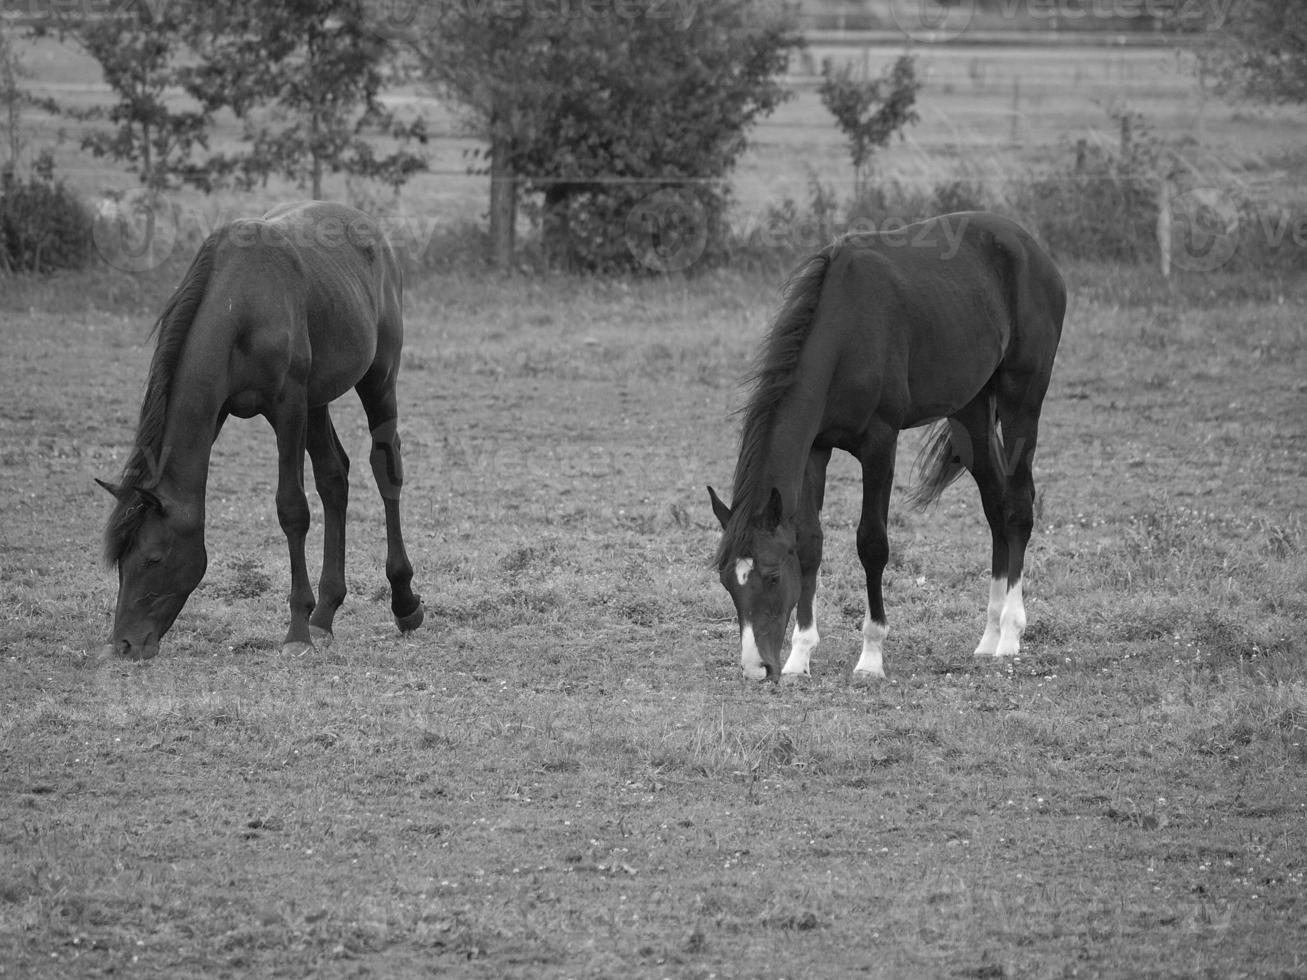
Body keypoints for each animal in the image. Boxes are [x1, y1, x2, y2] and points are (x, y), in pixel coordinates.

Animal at [98, 199, 423, 661]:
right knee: (333, 477)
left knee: (385, 467)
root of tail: (369, 226)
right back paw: (326, 614)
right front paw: (310, 620)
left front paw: (296, 630)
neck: (241, 305)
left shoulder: (287, 407)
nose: (124, 644)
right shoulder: (223, 410)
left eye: (155, 558)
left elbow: (292, 509)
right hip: (317, 400)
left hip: (378, 378)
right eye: (120, 562)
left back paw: (403, 602)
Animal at [711, 212, 1066, 684]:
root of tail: (1032, 248)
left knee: (1019, 507)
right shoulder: (816, 450)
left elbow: (872, 543)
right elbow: (810, 543)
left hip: (1020, 402)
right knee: (996, 507)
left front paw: (871, 656)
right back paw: (988, 637)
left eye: (770, 577)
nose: (756, 668)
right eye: (728, 582)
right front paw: (799, 656)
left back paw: (1009, 634)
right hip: (970, 411)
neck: (847, 332)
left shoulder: (880, 444)